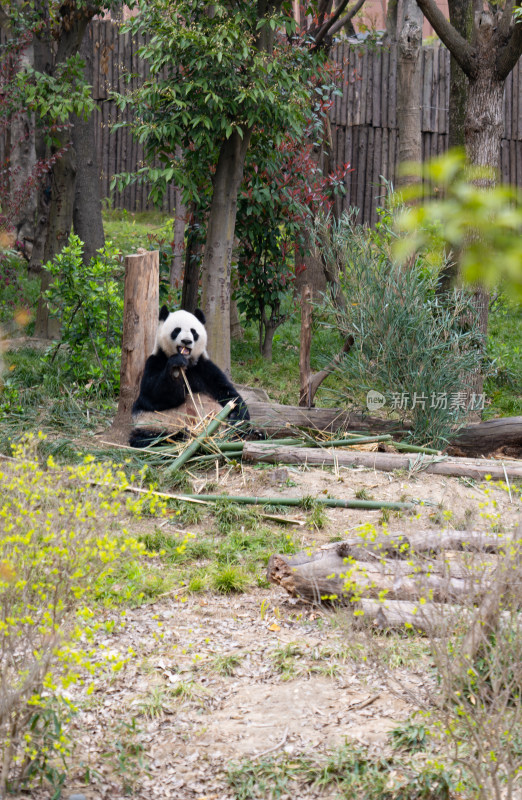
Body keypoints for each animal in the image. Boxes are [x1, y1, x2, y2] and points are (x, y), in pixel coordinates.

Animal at [129, 304, 249, 446]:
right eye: (176, 330)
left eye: (194, 332)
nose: (186, 341)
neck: (187, 364)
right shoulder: (155, 361)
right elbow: (151, 396)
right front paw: (175, 367)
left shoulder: (204, 368)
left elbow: (227, 392)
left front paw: (237, 417)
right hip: (152, 424)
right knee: (150, 438)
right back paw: (182, 435)